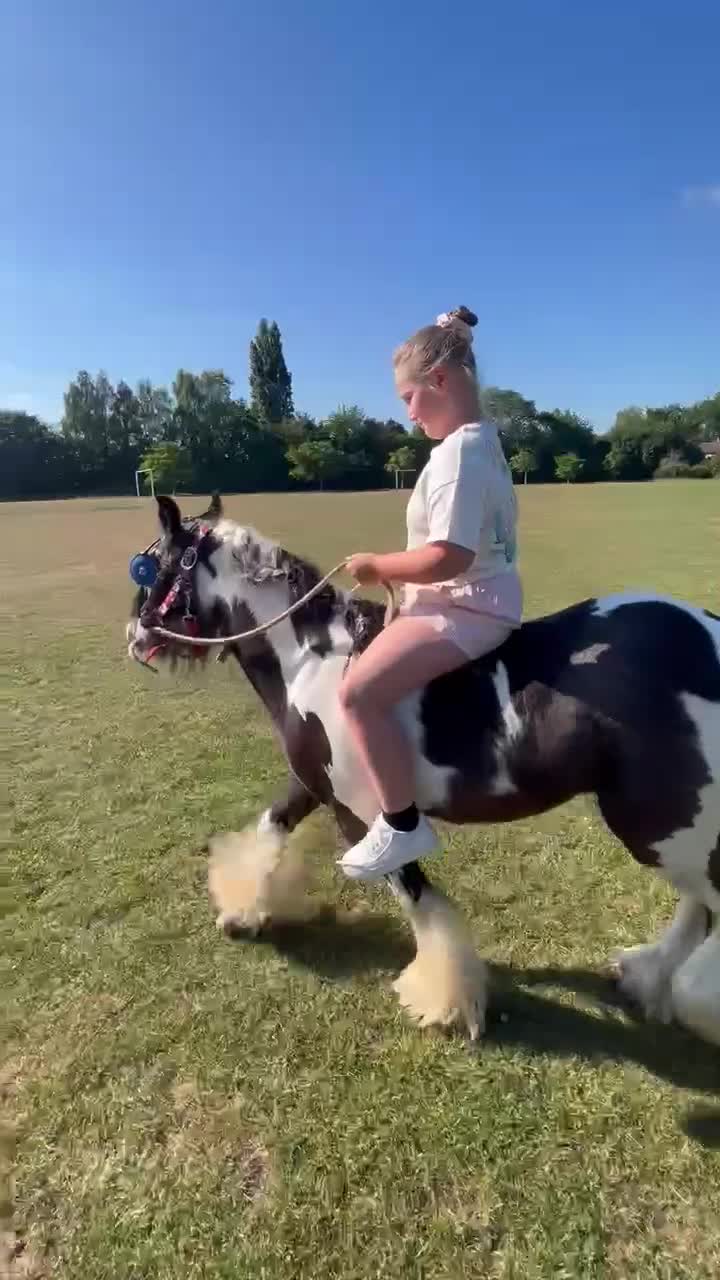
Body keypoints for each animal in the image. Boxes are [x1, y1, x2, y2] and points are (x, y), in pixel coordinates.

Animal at [126, 494, 720, 1047]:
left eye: (152, 568)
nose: (135, 636)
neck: (312, 660)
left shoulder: (370, 817)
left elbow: (418, 901)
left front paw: (446, 1004)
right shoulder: (314, 785)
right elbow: (271, 827)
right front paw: (241, 912)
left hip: (659, 821)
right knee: (697, 902)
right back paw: (648, 975)